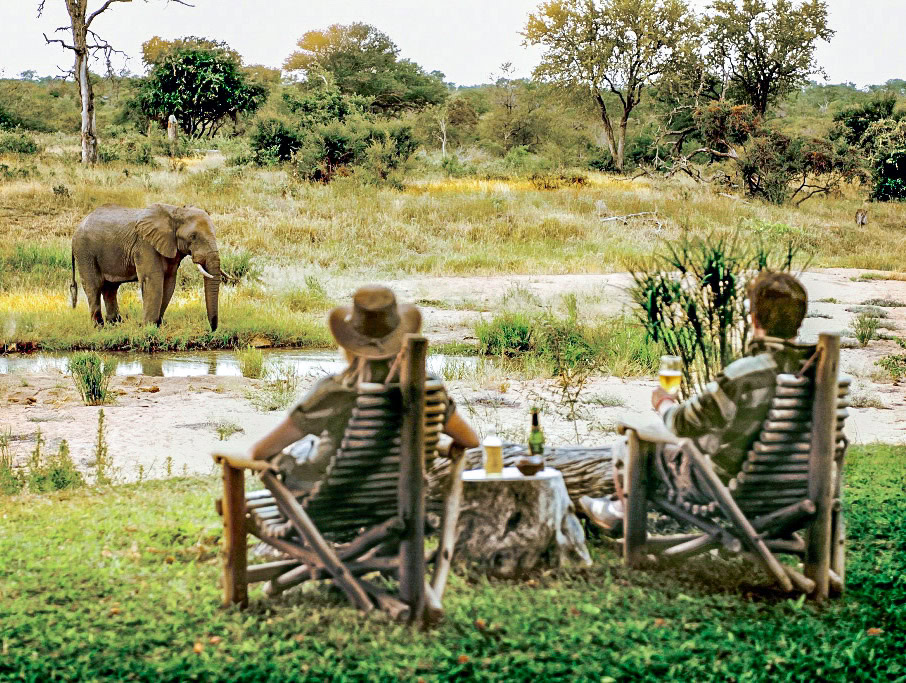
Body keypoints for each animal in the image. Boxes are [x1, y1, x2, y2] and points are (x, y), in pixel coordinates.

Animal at [71, 203, 221, 330]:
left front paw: (158, 325)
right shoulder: (145, 245)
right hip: (85, 252)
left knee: (110, 288)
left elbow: (169, 284)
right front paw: (148, 328)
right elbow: (153, 281)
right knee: (94, 286)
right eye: (193, 236)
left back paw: (115, 324)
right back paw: (100, 327)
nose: (211, 330)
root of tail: (78, 227)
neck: (175, 212)